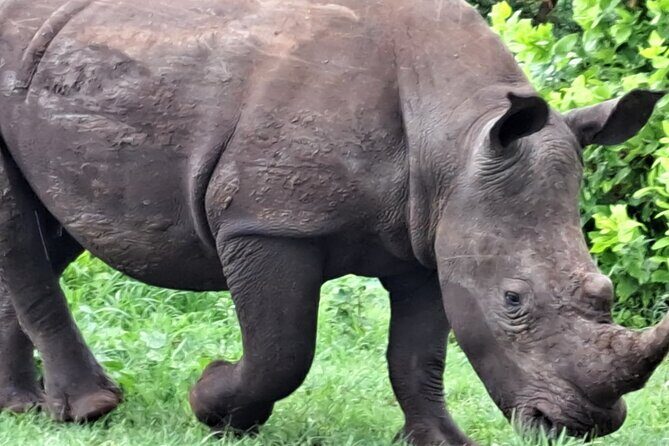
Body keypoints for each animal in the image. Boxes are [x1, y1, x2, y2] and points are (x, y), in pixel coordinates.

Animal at [0, 0, 666, 444]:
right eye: (513, 300)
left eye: (605, 291)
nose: (581, 427)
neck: (455, 135)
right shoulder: (266, 223)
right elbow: (283, 350)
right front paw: (214, 406)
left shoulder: (428, 237)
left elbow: (418, 356)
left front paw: (441, 441)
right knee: (23, 234)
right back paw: (90, 410)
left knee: (48, 228)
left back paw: (24, 410)